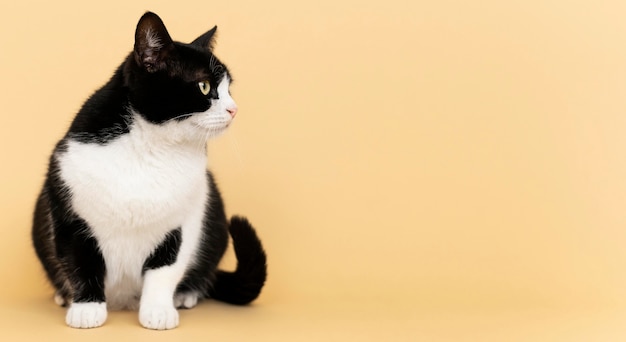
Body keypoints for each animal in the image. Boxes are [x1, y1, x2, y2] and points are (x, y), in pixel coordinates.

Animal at [31, 12, 266, 330]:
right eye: (205, 86)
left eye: (229, 89)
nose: (234, 109)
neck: (152, 148)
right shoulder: (69, 209)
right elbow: (80, 261)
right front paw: (86, 308)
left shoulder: (181, 221)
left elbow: (164, 269)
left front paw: (158, 310)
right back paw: (63, 295)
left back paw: (187, 295)